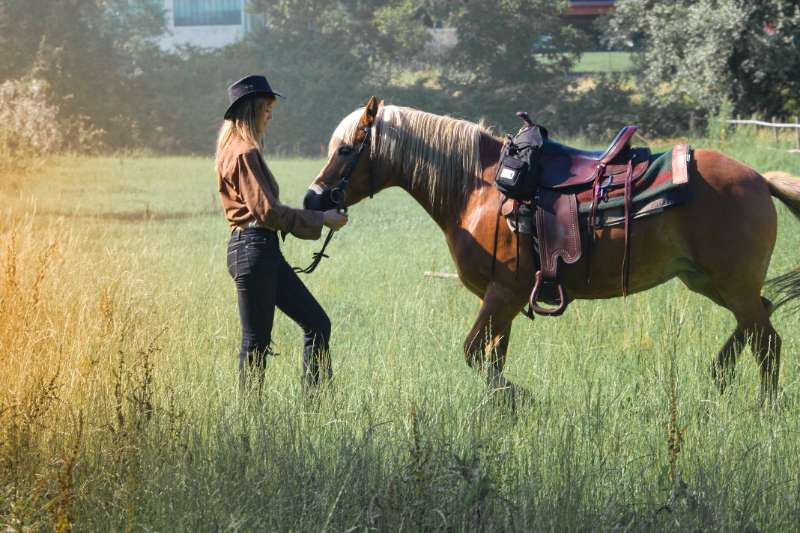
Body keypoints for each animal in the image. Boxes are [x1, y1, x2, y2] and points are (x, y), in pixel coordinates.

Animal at [303, 97, 800, 405]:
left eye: (345, 150)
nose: (312, 198)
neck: (479, 188)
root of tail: (758, 178)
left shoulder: (502, 294)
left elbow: (473, 352)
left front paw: (518, 398)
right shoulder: (502, 300)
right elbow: (492, 356)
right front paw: (501, 409)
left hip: (730, 283)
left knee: (768, 340)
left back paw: (763, 404)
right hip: (708, 281)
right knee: (760, 316)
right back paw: (720, 373)